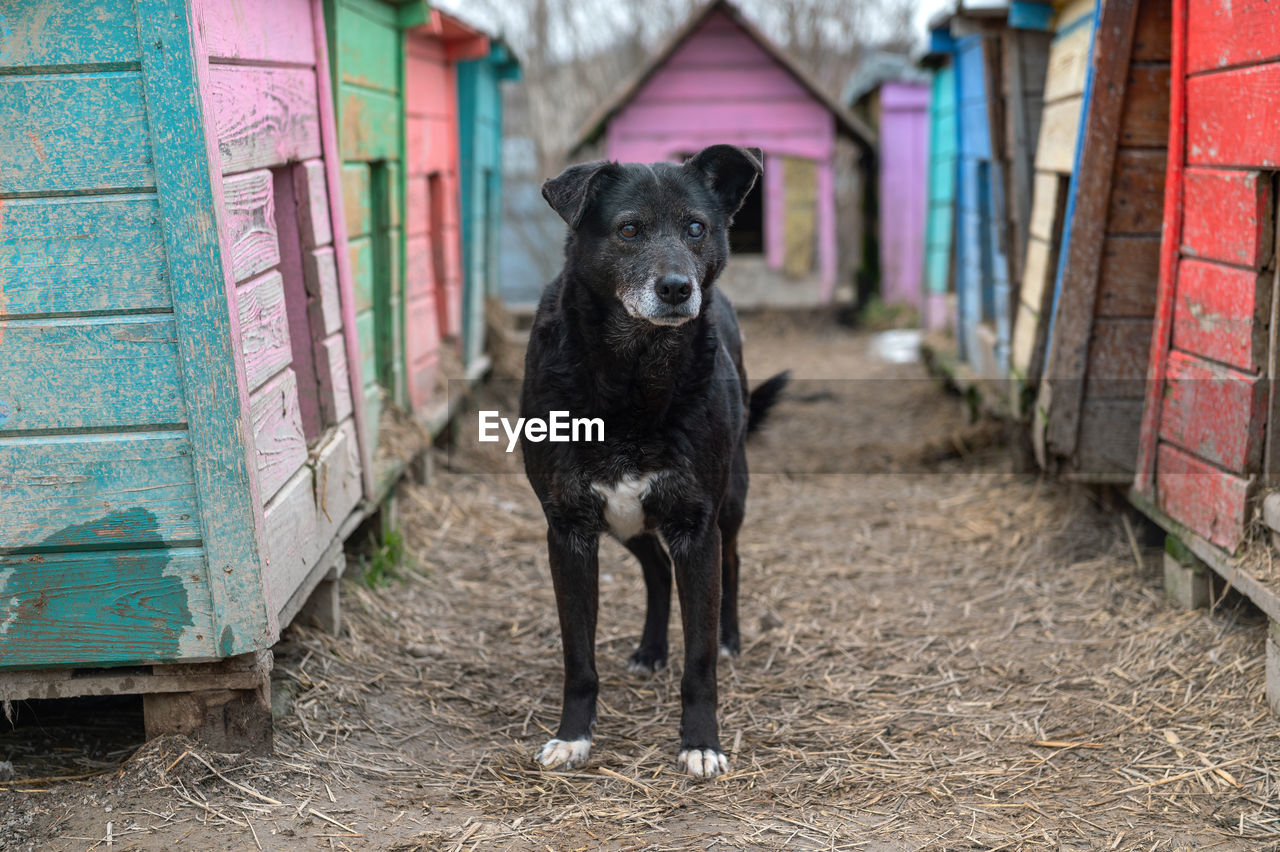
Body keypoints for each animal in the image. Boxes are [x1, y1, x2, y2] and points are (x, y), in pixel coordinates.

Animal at [517, 142, 778, 772]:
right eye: (629, 229)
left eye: (696, 228)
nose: (678, 288)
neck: (634, 376)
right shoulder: (569, 528)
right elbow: (578, 658)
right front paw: (573, 735)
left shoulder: (696, 525)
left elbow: (699, 660)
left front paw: (701, 743)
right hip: (626, 520)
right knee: (656, 569)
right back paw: (651, 649)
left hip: (729, 500)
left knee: (731, 562)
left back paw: (729, 637)